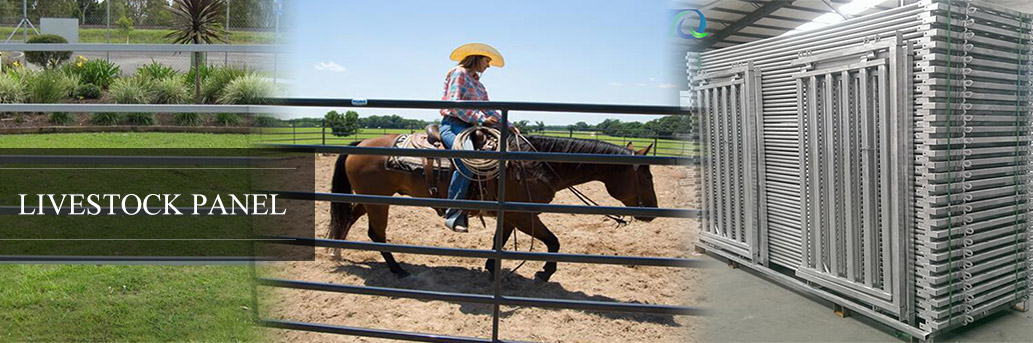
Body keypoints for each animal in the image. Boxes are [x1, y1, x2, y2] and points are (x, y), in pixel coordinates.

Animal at [326, 134, 656, 281]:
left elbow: (501, 239)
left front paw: (490, 267)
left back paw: (338, 252)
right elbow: (554, 242)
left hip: (370, 199)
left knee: (348, 219)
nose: (652, 211)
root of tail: (360, 144)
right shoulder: (523, 214)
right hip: (378, 201)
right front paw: (545, 272)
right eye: (645, 175)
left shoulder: (510, 214)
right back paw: (398, 269)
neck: (534, 164)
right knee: (376, 234)